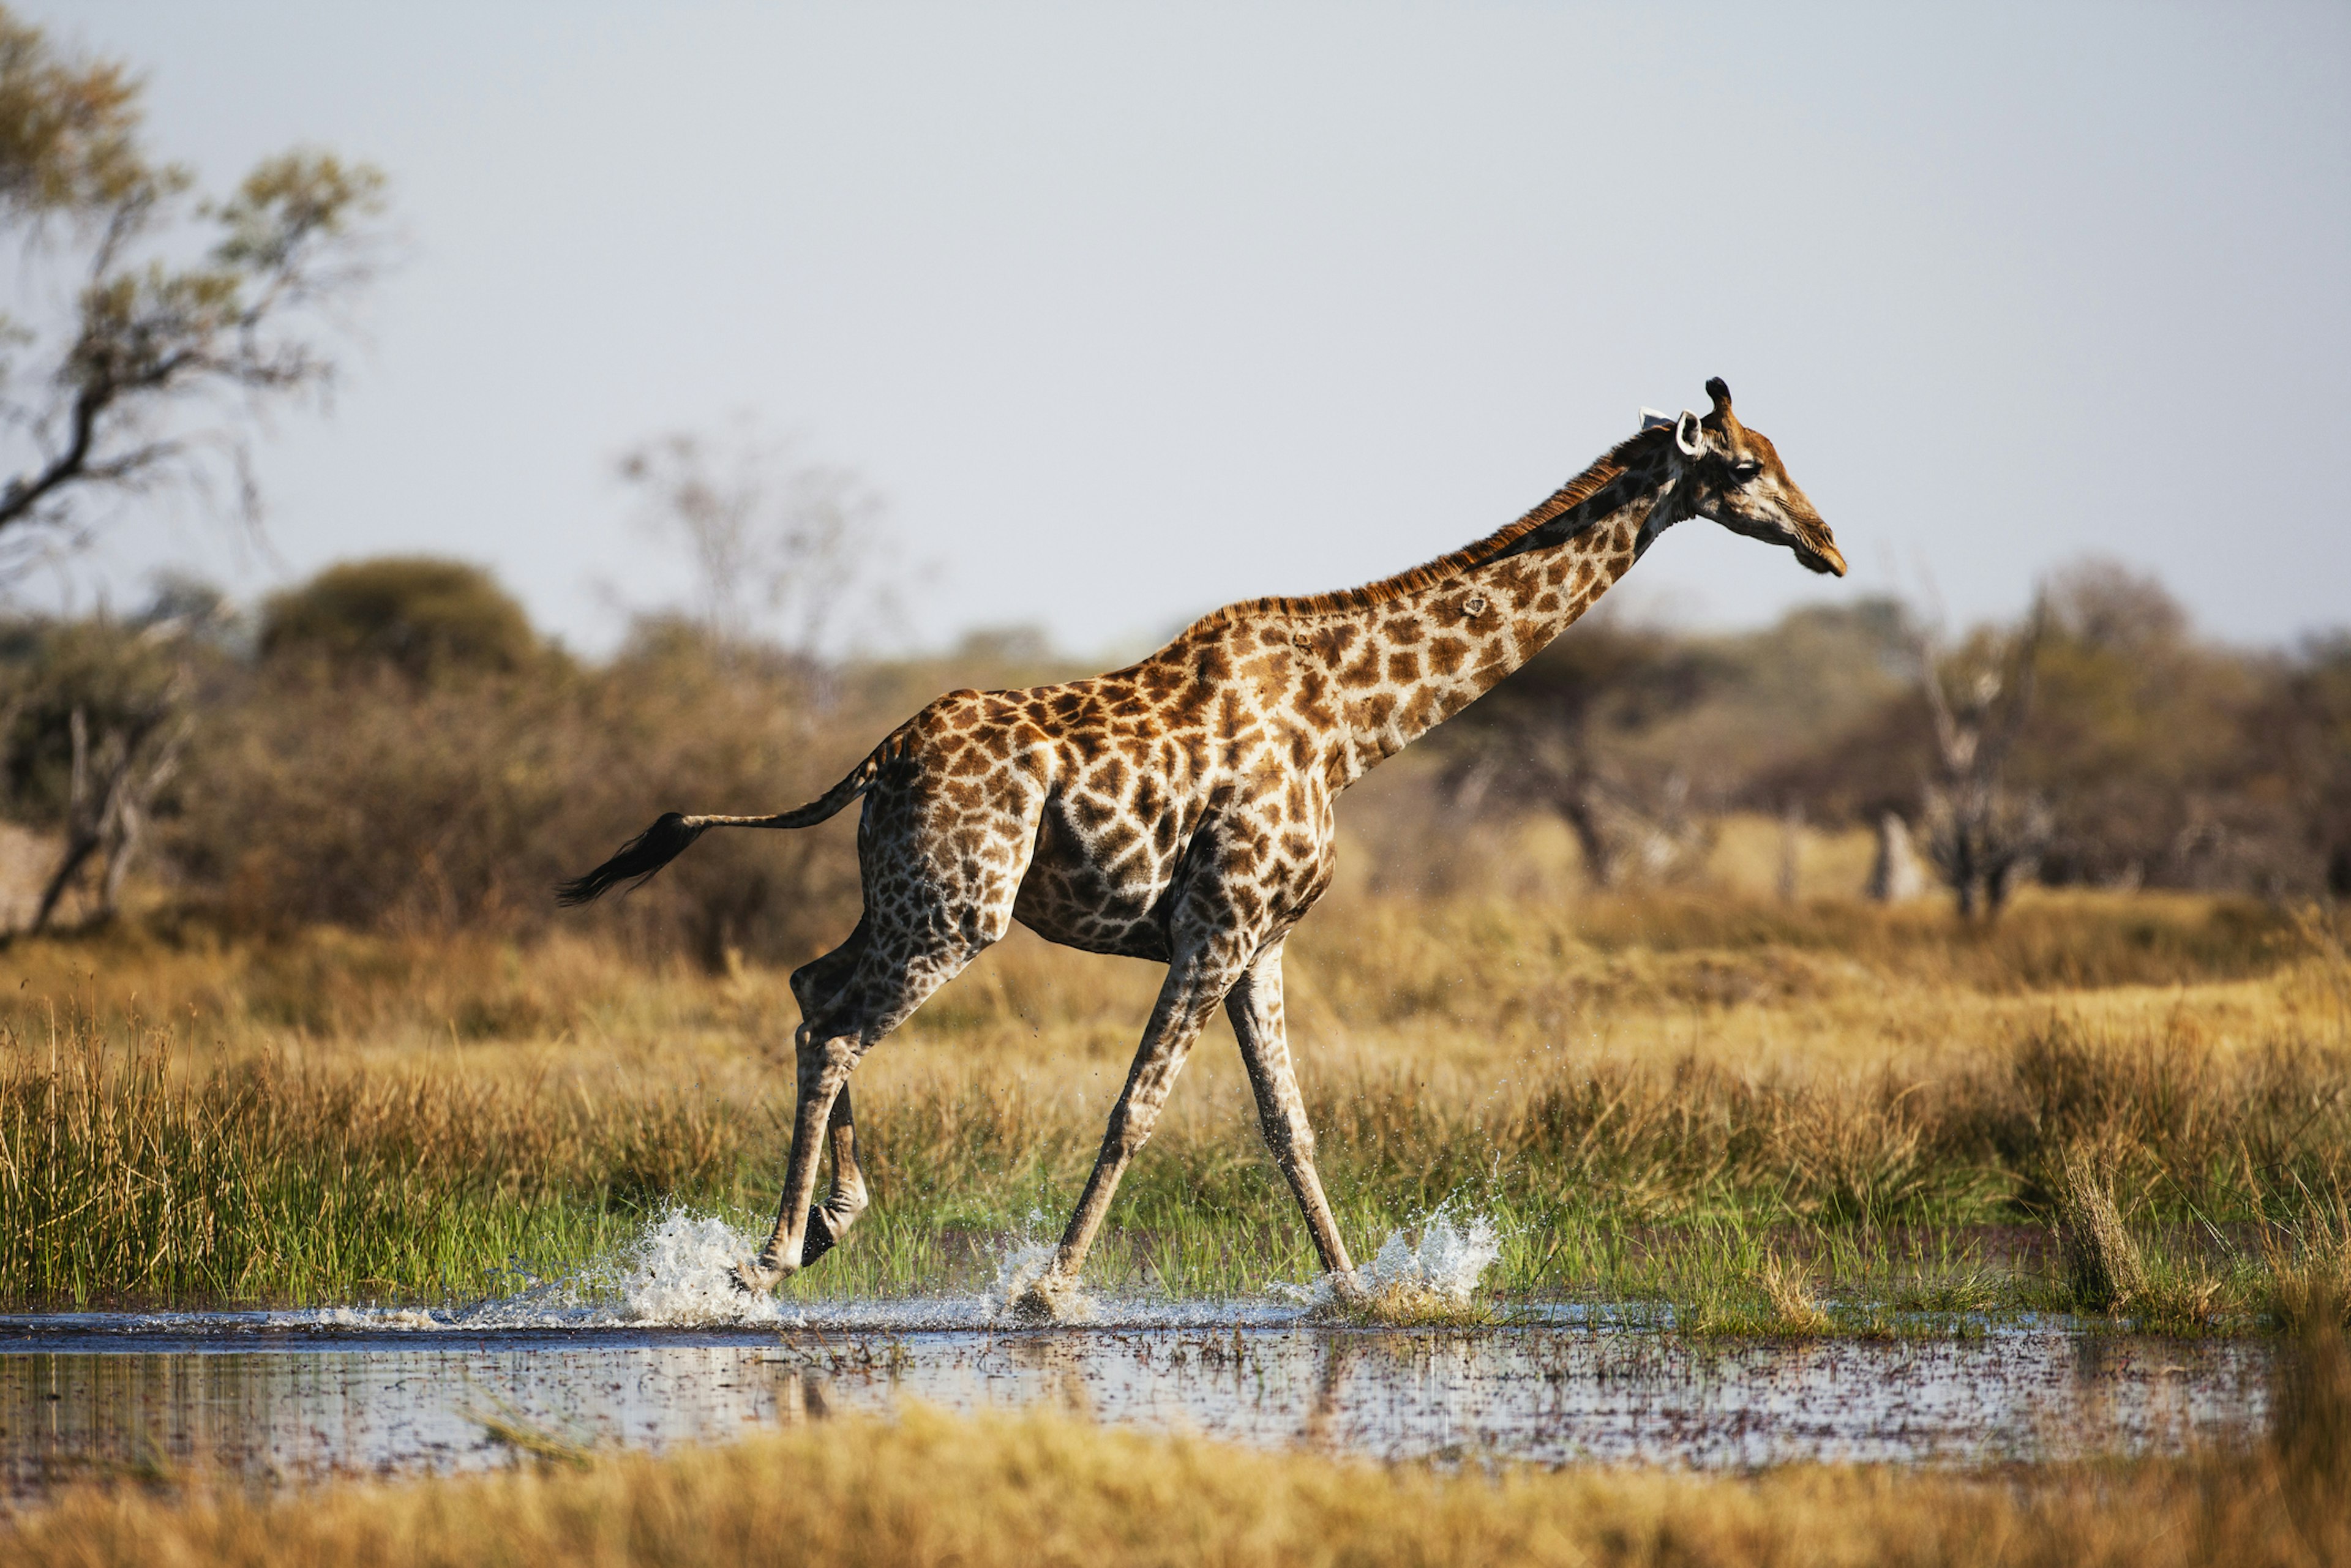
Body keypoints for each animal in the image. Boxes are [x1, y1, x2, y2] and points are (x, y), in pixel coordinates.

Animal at [559, 381, 1843, 1316]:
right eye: (1742, 468)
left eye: (1781, 451)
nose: (1828, 544)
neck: (1353, 724)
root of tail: (882, 756)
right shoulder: (1216, 927)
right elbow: (1137, 1109)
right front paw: (1045, 1289)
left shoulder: (1261, 942)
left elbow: (1290, 1126)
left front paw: (1358, 1292)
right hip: (958, 913)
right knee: (834, 1023)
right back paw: (768, 1255)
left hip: (908, 894)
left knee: (810, 986)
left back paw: (828, 1223)